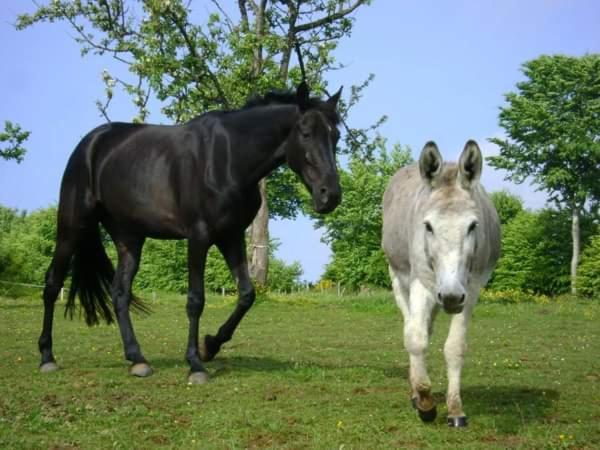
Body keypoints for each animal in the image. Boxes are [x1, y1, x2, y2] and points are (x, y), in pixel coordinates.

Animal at [39, 82, 342, 382]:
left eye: (336, 136)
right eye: (306, 133)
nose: (330, 195)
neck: (228, 158)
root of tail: (91, 143)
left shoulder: (231, 237)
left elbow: (246, 295)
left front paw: (211, 346)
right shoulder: (199, 237)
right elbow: (196, 300)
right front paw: (196, 364)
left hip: (129, 238)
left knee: (120, 293)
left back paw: (137, 359)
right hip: (71, 227)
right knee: (53, 283)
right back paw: (47, 357)